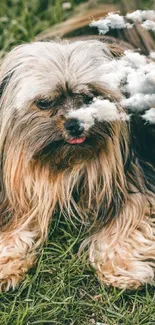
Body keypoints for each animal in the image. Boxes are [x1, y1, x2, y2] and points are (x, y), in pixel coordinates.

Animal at [0, 38, 154, 292]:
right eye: (44, 103)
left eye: (90, 97)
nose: (75, 124)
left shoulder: (134, 178)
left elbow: (130, 220)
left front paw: (121, 267)